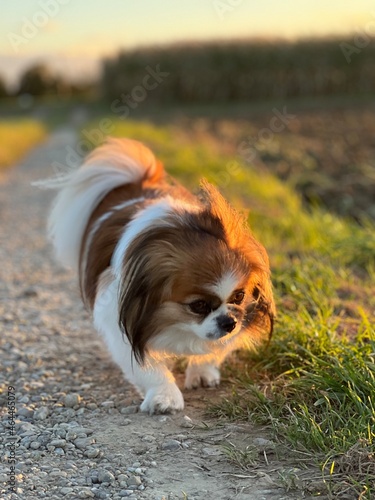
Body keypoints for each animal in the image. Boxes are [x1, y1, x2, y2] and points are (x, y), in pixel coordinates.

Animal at [43, 138, 276, 414]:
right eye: (198, 306)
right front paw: (165, 397)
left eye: (239, 297)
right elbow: (149, 369)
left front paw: (201, 372)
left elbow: (214, 349)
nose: (228, 322)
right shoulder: (122, 325)